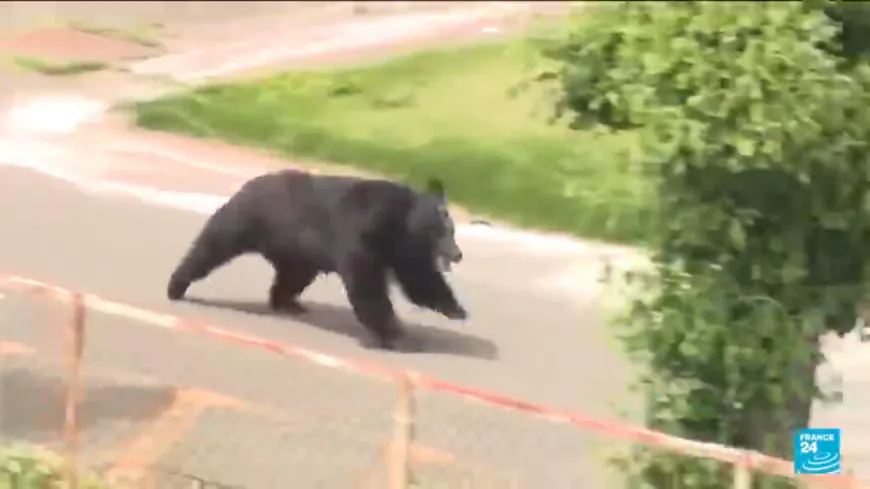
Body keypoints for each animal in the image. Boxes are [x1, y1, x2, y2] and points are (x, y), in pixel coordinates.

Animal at [166, 169, 467, 350]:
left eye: (453, 231)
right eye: (444, 232)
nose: (458, 254)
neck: (400, 223)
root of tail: (246, 185)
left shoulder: (401, 250)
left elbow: (419, 278)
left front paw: (456, 309)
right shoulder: (359, 234)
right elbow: (366, 284)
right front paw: (393, 334)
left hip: (297, 254)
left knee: (291, 279)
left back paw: (288, 304)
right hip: (245, 221)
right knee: (211, 246)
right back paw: (176, 286)